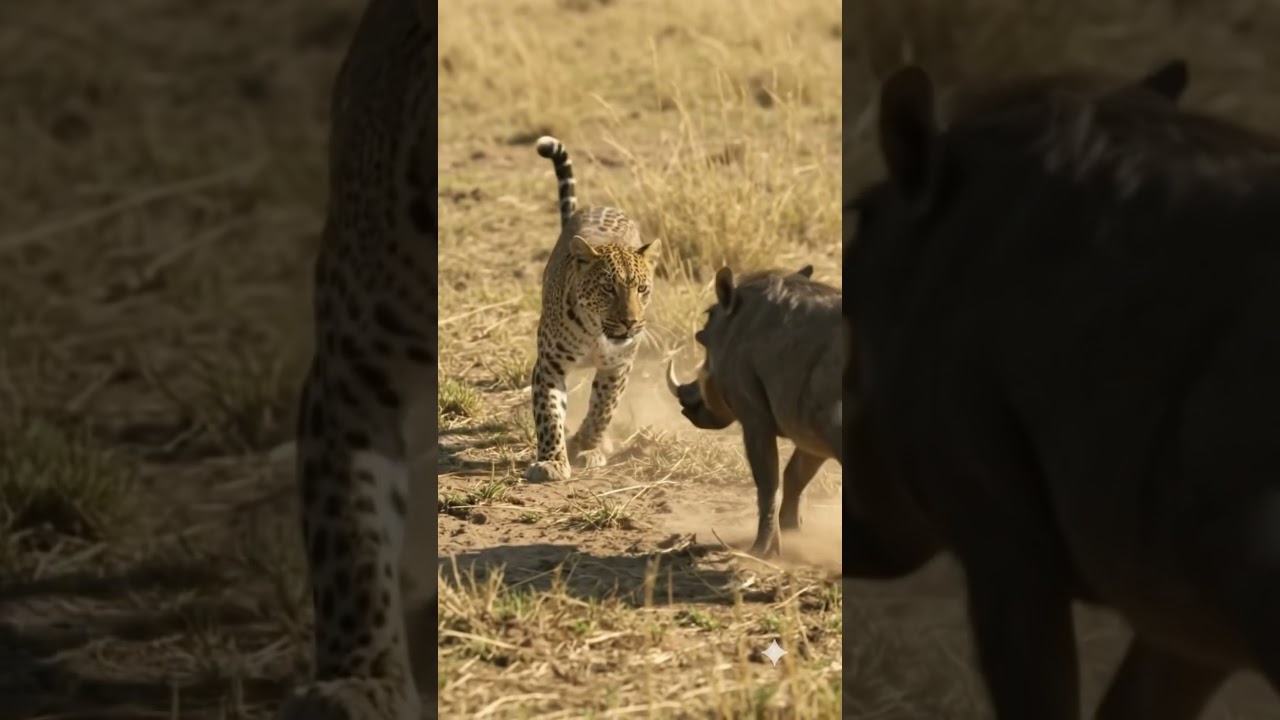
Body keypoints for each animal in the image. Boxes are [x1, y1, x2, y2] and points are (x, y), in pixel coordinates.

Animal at [524, 135, 659, 483]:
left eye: (642, 289)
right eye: (608, 289)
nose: (630, 322)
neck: (595, 334)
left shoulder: (618, 366)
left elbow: (603, 408)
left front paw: (587, 447)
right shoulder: (549, 366)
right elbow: (548, 414)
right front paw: (552, 461)